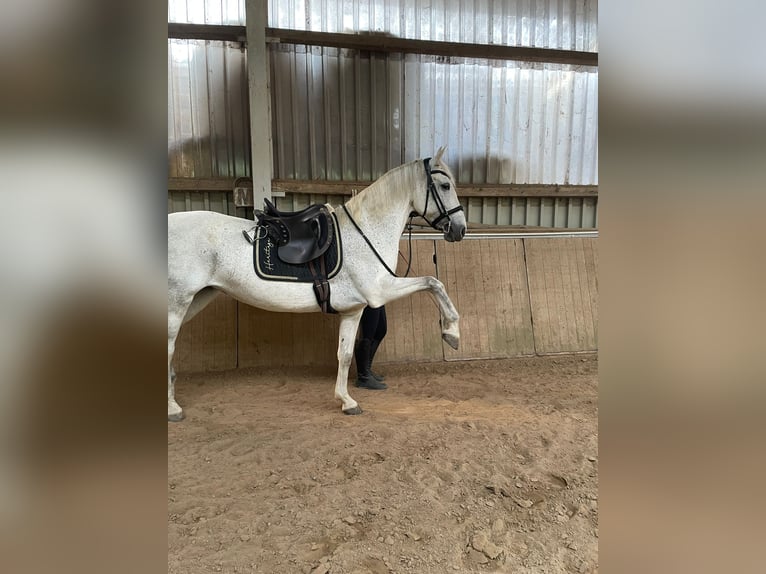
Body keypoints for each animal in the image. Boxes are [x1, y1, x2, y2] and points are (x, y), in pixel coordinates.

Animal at [169, 146, 468, 420]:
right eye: (445, 186)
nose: (460, 229)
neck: (365, 232)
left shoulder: (354, 310)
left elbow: (344, 355)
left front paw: (347, 401)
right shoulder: (379, 291)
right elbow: (433, 282)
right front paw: (451, 332)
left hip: (198, 298)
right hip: (178, 303)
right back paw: (173, 409)